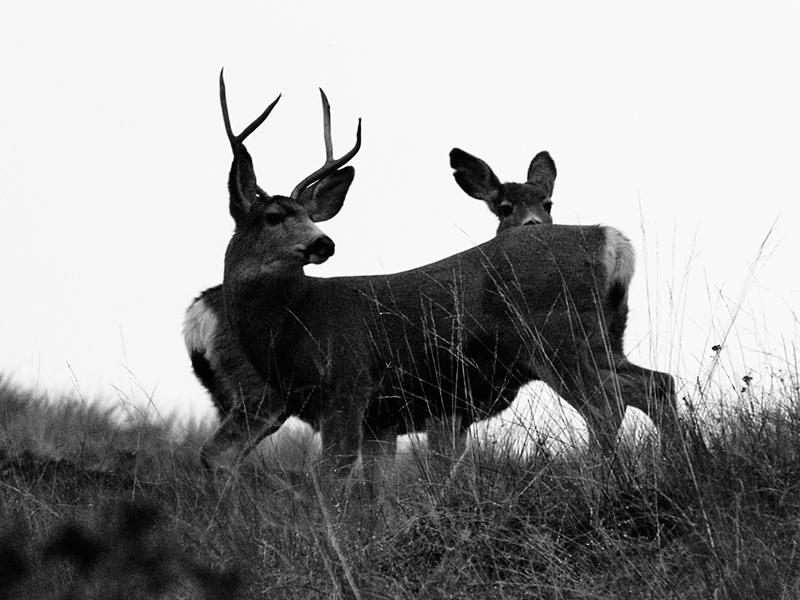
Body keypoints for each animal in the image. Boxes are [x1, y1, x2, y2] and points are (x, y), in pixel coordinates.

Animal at [202, 74, 680, 488]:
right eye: (274, 215)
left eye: (305, 215)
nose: (324, 242)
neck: (292, 321)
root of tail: (609, 239)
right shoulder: (383, 416)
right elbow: (373, 494)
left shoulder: (347, 386)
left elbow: (333, 482)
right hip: (603, 337)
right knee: (657, 384)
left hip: (556, 337)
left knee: (608, 404)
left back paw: (606, 481)